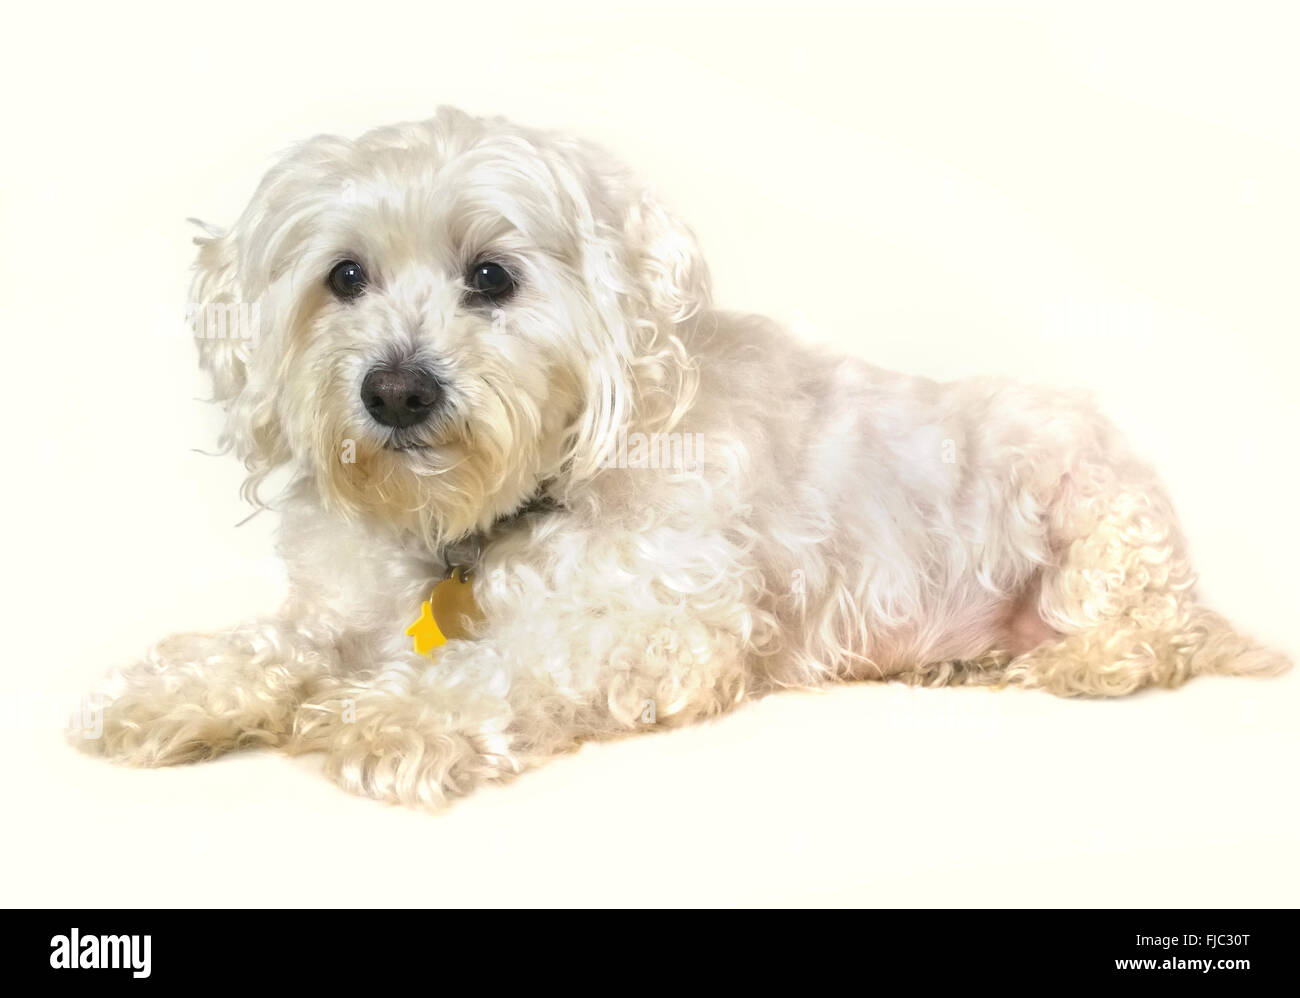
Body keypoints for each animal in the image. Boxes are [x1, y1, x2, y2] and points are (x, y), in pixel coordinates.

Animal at [83, 105, 1289, 805]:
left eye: (492, 277)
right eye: (343, 277)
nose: (396, 390)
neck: (494, 514)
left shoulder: (663, 624)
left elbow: (506, 661)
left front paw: (394, 713)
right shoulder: (349, 607)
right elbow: (276, 642)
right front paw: (174, 692)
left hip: (1095, 514)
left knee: (1151, 635)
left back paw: (1080, 661)